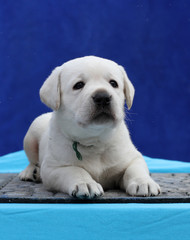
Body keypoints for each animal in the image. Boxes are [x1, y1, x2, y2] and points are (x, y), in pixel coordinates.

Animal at [19, 56, 160, 199]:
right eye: (78, 85)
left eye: (113, 83)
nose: (102, 97)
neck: (95, 141)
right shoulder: (53, 168)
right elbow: (74, 170)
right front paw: (85, 183)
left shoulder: (133, 157)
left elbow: (134, 169)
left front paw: (143, 182)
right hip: (31, 135)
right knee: (32, 159)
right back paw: (30, 172)